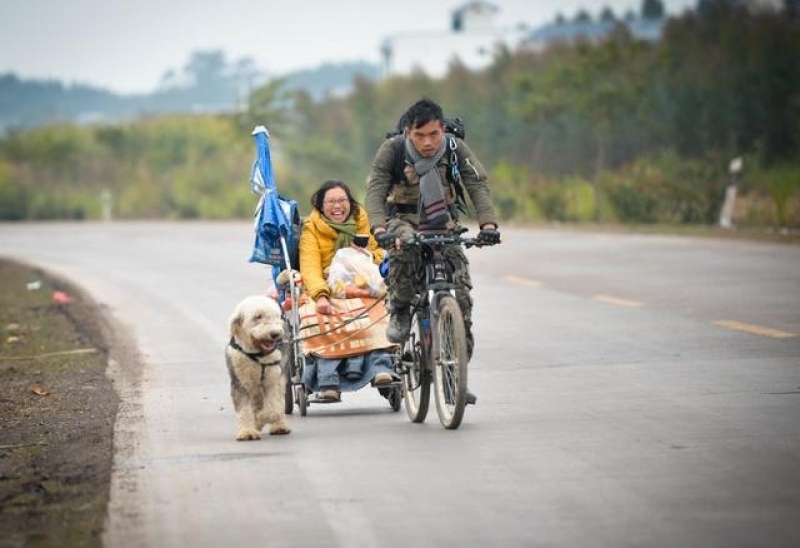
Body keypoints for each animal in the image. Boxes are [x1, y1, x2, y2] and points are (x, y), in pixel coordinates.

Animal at [225, 296, 290, 440]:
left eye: (276, 316)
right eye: (257, 316)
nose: (275, 334)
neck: (257, 355)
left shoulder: (273, 378)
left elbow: (274, 408)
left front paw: (259, 420)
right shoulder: (240, 381)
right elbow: (244, 408)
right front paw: (247, 432)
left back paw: (280, 427)